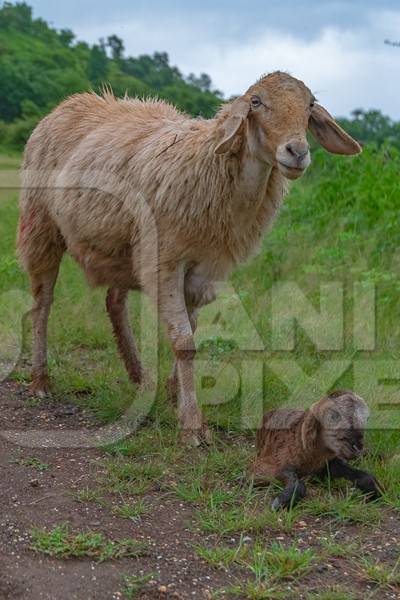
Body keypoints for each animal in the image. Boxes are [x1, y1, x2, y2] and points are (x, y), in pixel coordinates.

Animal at [18, 71, 360, 446]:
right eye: (256, 102)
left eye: (310, 105)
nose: (297, 152)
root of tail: (71, 102)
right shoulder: (166, 261)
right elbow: (184, 341)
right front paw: (193, 424)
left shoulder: (203, 269)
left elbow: (192, 331)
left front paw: (174, 394)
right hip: (41, 224)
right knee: (42, 303)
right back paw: (40, 381)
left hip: (125, 247)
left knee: (114, 301)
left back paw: (139, 376)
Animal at [253, 390, 382, 510]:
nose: (358, 447)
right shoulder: (265, 466)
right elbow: (297, 482)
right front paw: (281, 502)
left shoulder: (329, 462)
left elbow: (363, 476)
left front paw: (375, 491)